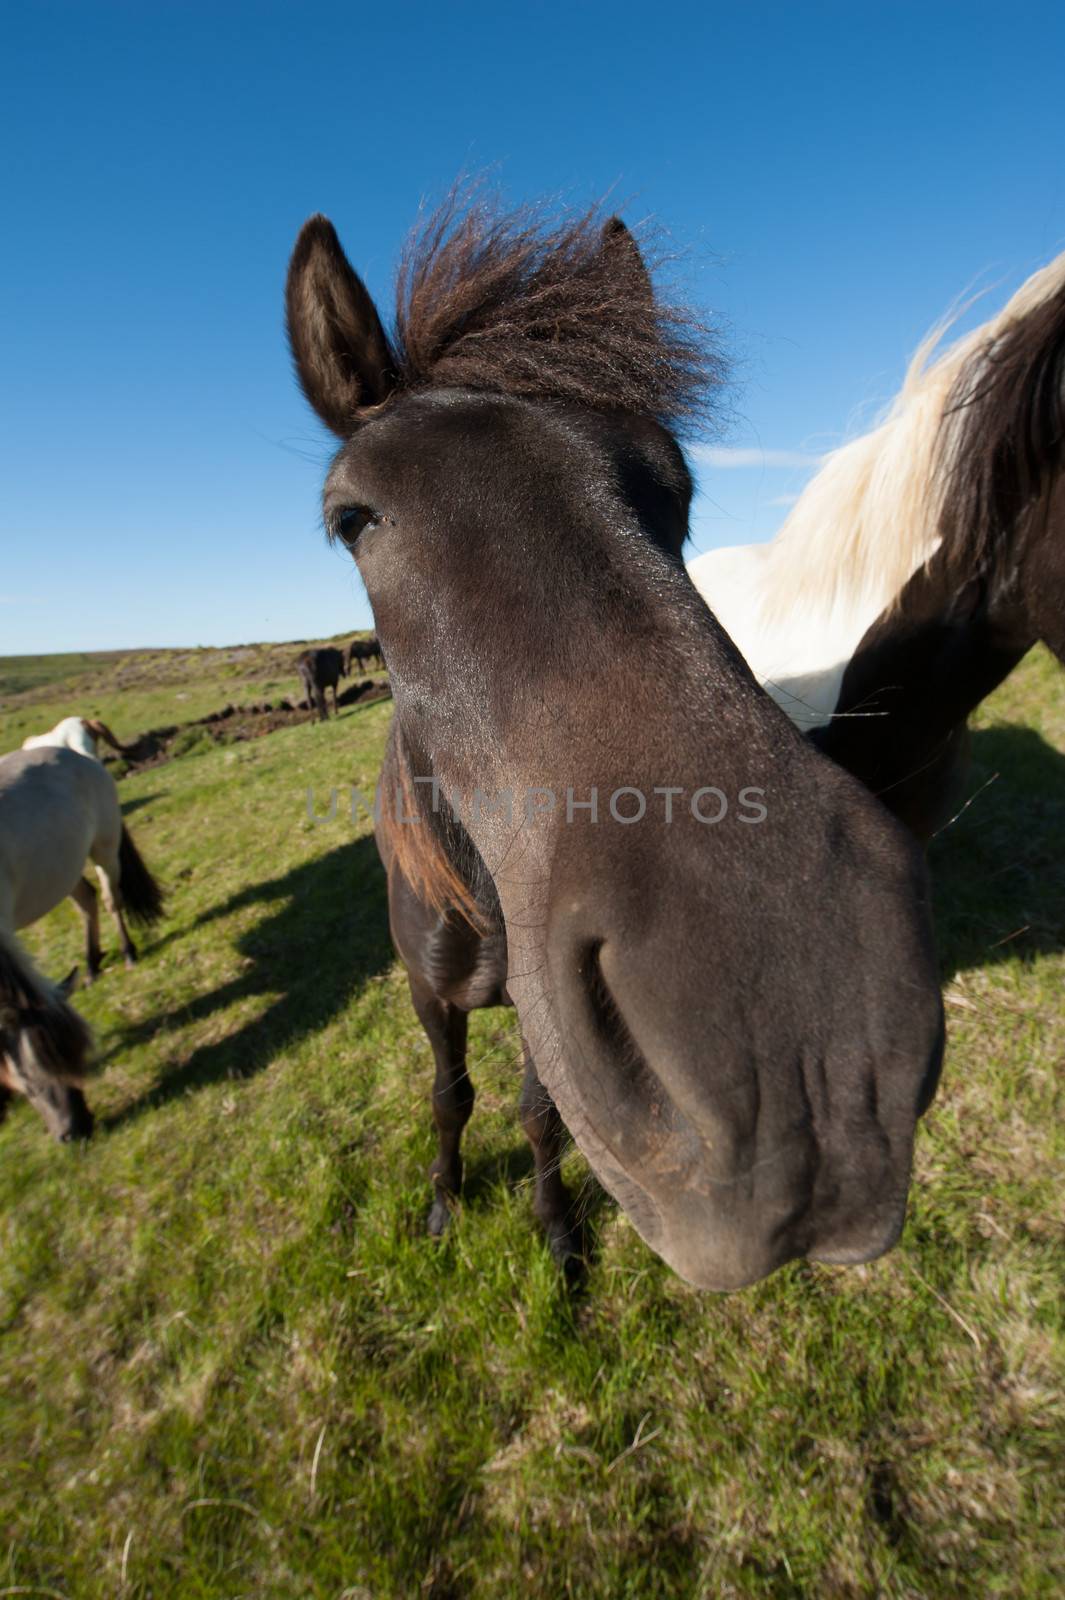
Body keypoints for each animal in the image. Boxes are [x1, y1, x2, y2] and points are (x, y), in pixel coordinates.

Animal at [0, 745, 163, 1139]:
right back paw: (91, 965)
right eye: (30, 1073)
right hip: (63, 864)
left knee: (109, 898)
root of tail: (73, 752)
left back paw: (127, 953)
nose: (75, 1130)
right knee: (88, 899)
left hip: (103, 847)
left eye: (71, 1053)